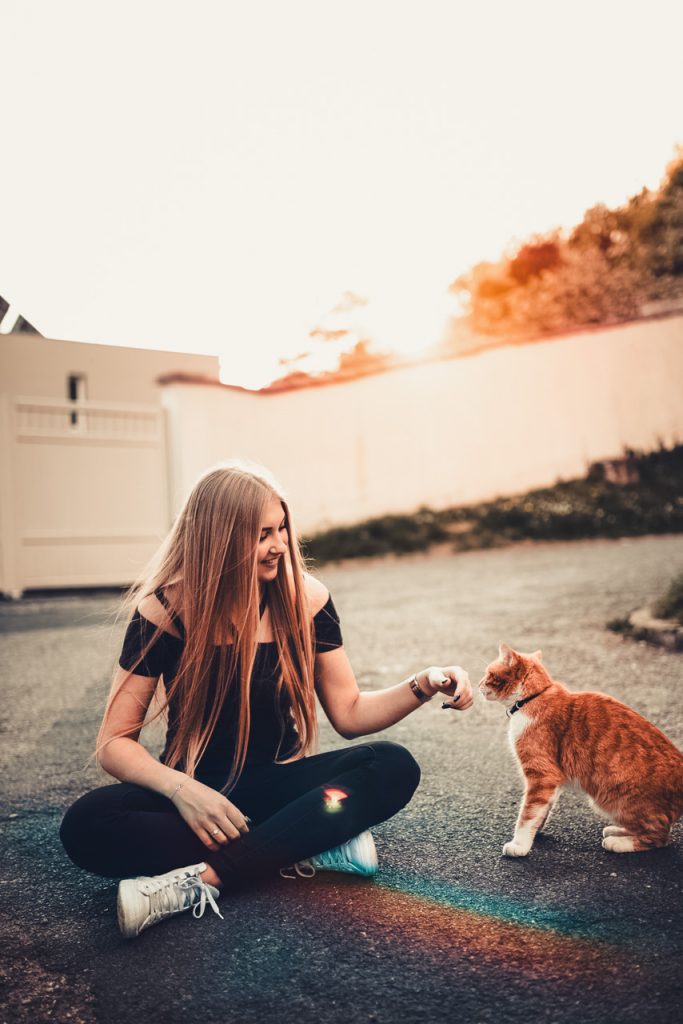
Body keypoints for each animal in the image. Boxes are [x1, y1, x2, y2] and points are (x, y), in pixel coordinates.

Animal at [481, 647, 683, 856]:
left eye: (488, 674)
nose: (478, 685)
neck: (532, 698)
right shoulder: (552, 780)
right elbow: (542, 809)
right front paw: (536, 832)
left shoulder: (542, 775)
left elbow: (527, 813)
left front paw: (519, 845)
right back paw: (618, 830)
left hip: (614, 801)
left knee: (659, 835)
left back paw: (618, 842)